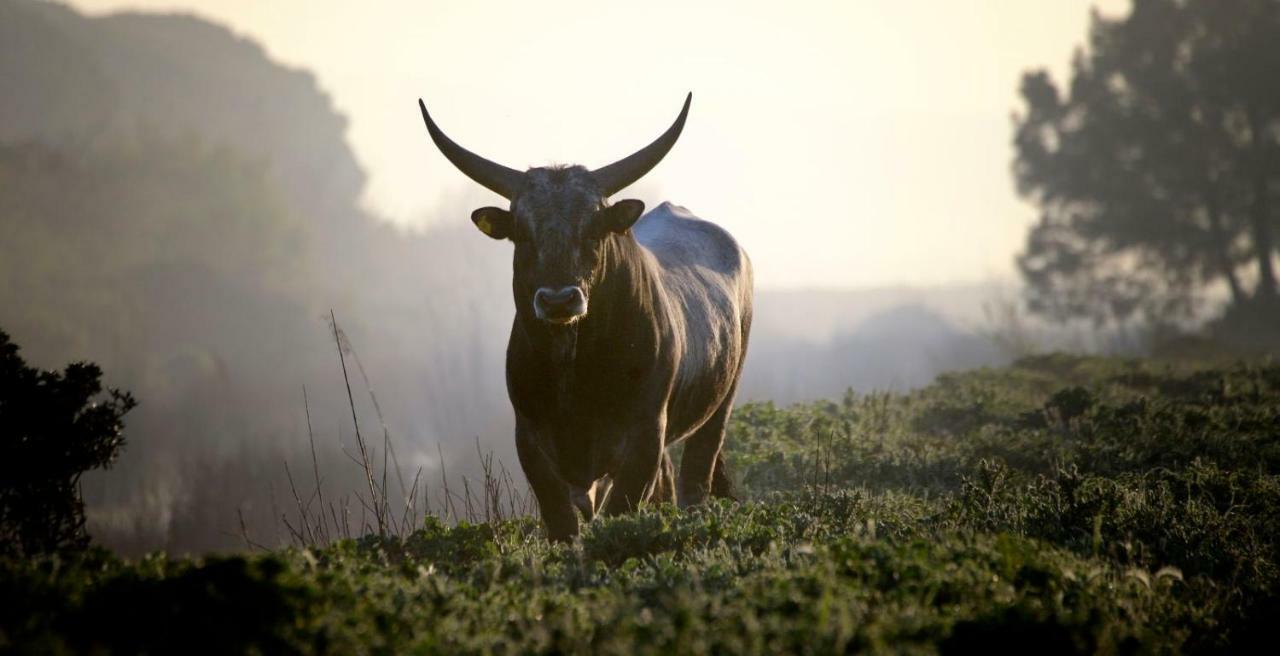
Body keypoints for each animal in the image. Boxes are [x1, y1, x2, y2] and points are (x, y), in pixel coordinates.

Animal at [419, 94, 747, 540]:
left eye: (594, 229)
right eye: (522, 232)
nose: (559, 300)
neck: (575, 370)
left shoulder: (644, 436)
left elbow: (619, 510)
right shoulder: (531, 440)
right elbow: (561, 521)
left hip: (719, 407)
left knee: (694, 477)